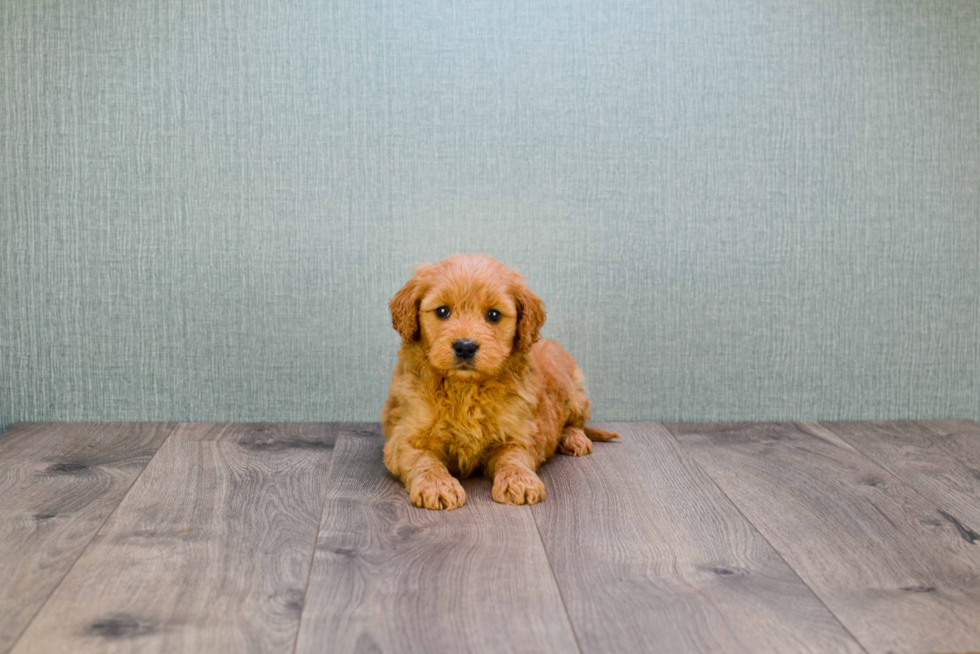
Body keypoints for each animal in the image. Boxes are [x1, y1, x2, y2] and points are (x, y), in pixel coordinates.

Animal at [380, 256, 616, 512]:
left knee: (576, 421)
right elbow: (424, 461)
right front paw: (438, 485)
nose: (465, 346)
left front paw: (518, 481)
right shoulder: (406, 437)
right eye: (442, 311)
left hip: (573, 389)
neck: (465, 387)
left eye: (494, 315)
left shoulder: (521, 433)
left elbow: (513, 458)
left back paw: (574, 439)